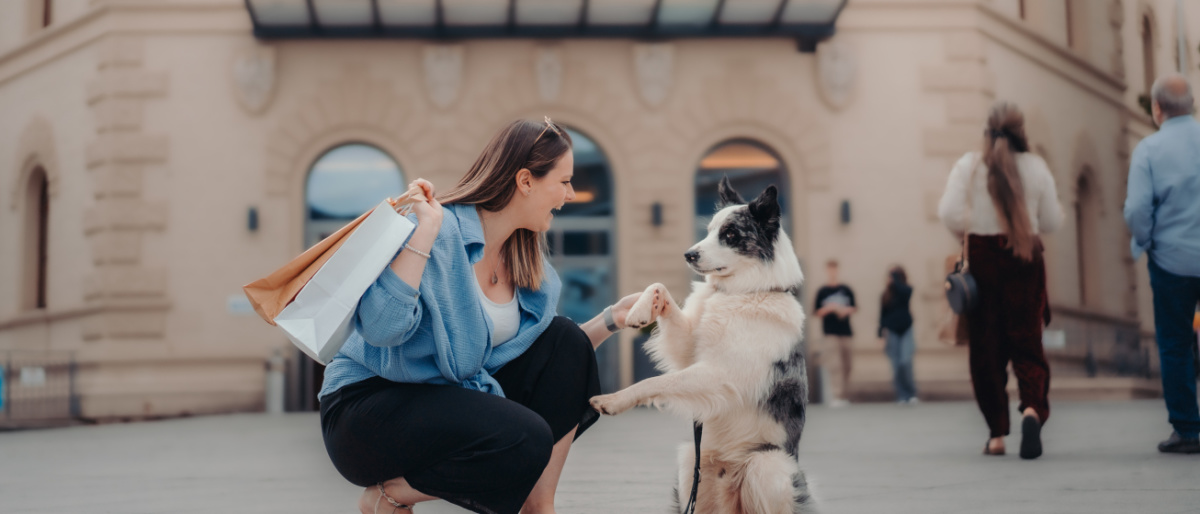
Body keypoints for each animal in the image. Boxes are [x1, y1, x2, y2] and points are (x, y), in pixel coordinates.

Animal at [588, 177, 816, 514]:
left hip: (766, 464)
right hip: (690, 464)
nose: (688, 255)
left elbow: (656, 382)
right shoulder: (689, 353)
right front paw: (639, 310)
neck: (738, 292)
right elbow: (658, 285)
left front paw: (614, 400)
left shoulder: (718, 374)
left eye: (730, 234)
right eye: (708, 230)